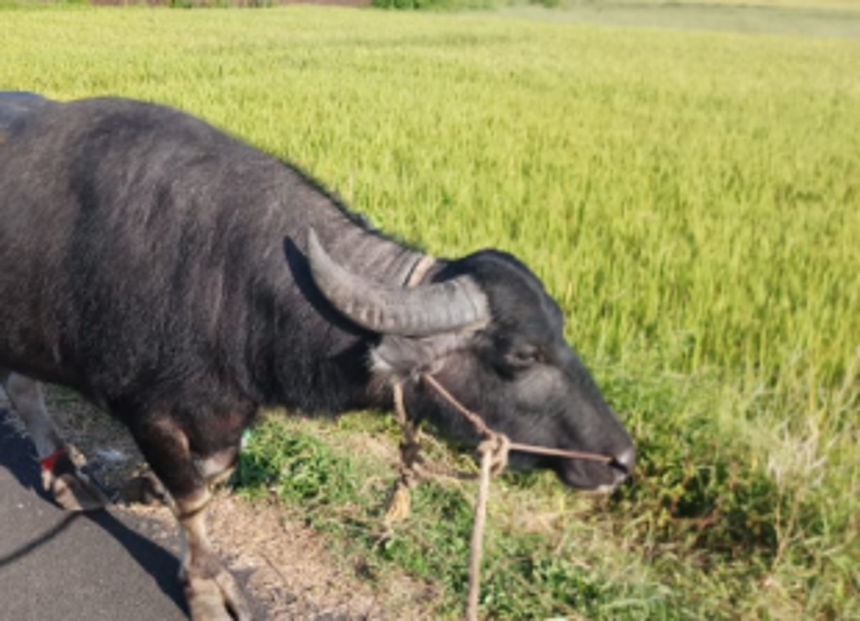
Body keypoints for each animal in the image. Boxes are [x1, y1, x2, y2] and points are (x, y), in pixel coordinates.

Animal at [0, 93, 635, 621]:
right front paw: (205, 586)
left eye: (562, 330)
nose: (622, 460)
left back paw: (64, 474)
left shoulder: (225, 412)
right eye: (522, 354)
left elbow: (213, 471)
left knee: (22, 387)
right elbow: (193, 497)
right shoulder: (145, 408)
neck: (223, 272)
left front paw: (144, 486)